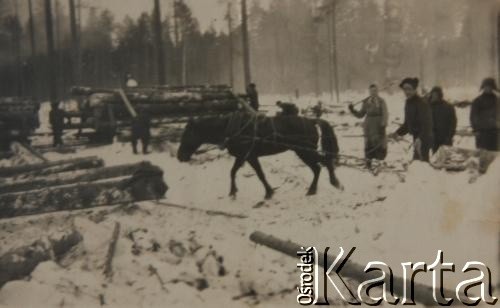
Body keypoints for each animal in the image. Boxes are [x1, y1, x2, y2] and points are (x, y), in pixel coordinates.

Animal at [177, 112, 344, 200]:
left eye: (187, 135)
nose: (180, 156)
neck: (231, 128)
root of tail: (311, 120)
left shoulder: (250, 156)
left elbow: (260, 174)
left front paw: (268, 192)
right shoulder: (243, 157)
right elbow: (233, 172)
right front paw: (233, 191)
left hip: (305, 151)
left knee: (322, 164)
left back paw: (330, 184)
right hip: (304, 152)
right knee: (319, 166)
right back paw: (318, 188)